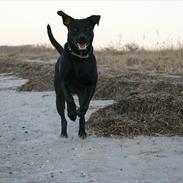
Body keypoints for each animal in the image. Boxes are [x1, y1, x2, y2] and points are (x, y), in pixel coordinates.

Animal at [46, 10, 101, 138]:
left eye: (87, 28)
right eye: (74, 29)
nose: (82, 38)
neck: (79, 58)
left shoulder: (91, 85)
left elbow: (85, 105)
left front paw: (80, 111)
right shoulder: (64, 82)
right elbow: (70, 99)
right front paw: (72, 113)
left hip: (81, 93)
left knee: (82, 113)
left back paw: (82, 131)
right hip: (58, 98)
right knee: (63, 117)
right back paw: (64, 132)